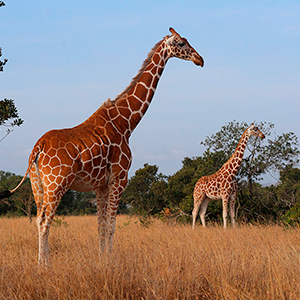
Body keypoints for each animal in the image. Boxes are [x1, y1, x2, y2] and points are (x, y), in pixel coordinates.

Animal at [0, 28, 204, 266]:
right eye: (181, 43)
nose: (200, 59)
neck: (126, 122)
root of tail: (37, 148)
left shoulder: (100, 186)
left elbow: (100, 226)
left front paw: (101, 260)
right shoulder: (119, 177)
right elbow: (111, 226)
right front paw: (111, 262)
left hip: (37, 184)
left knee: (38, 219)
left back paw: (42, 262)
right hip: (56, 184)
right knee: (43, 221)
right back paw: (45, 266)